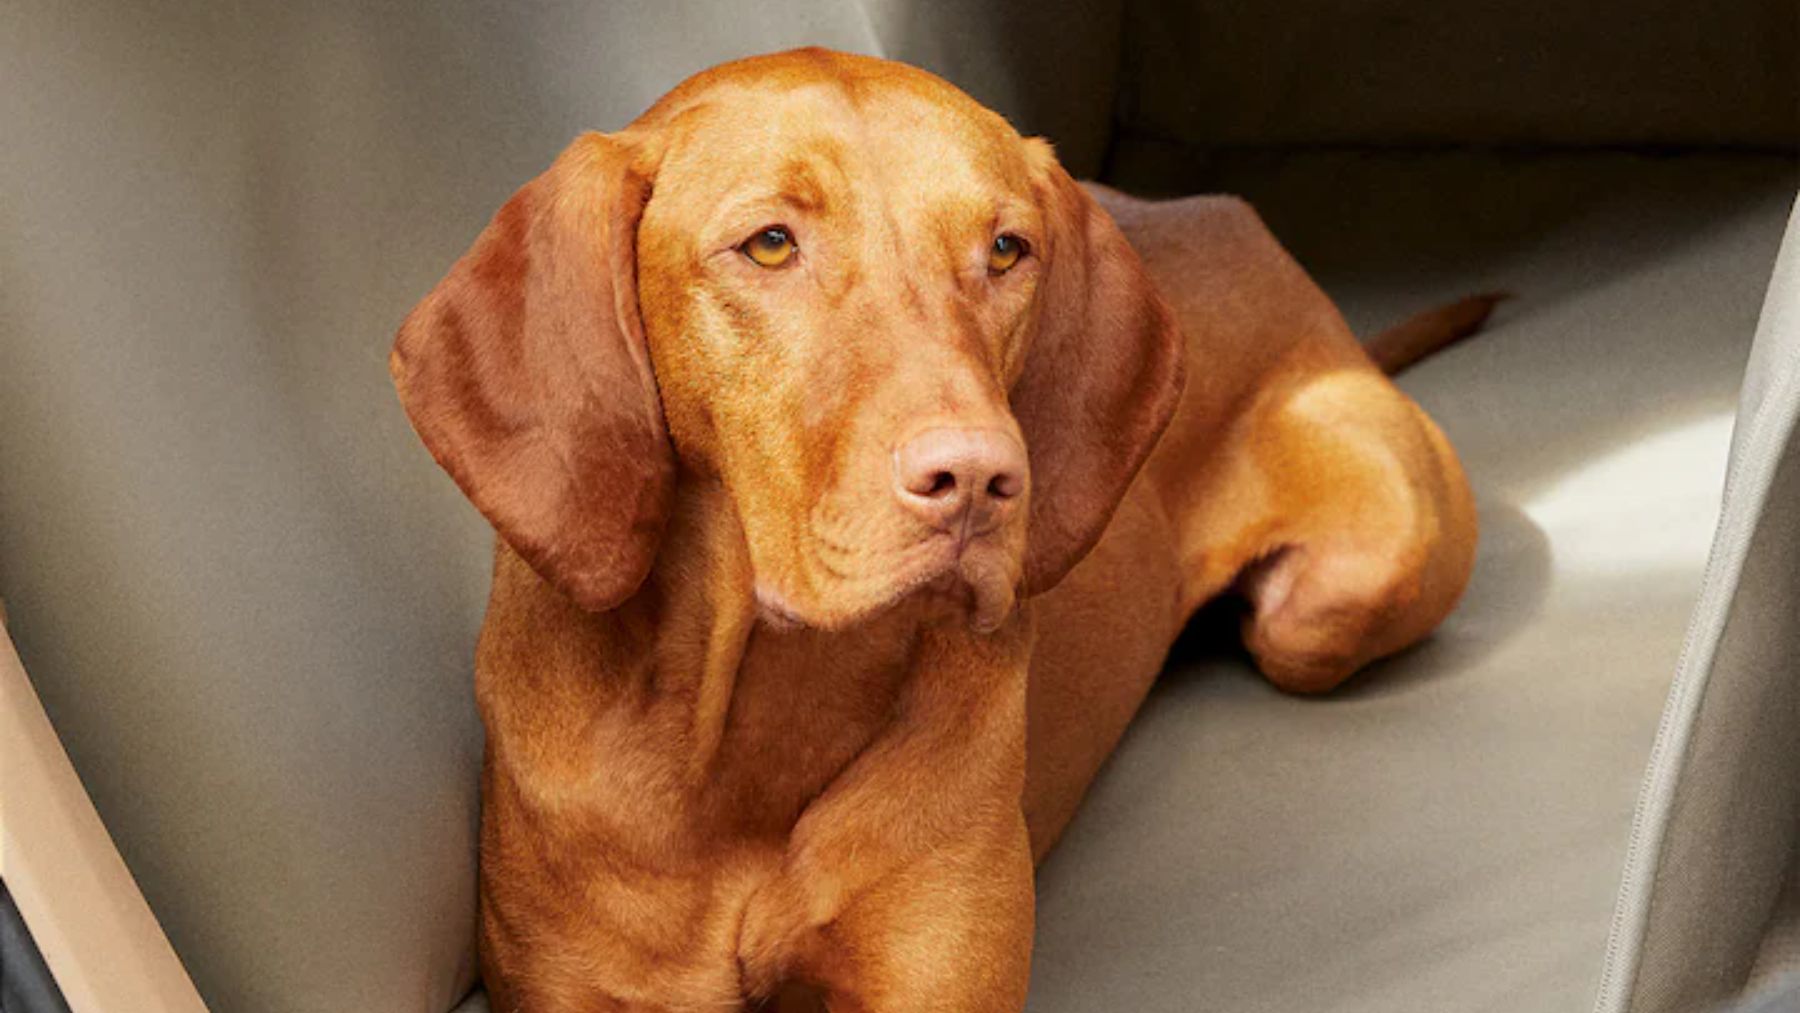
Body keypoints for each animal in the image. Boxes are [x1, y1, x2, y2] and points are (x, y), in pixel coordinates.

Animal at [390, 45, 1490, 1013]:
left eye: (1006, 248)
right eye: (770, 242)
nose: (977, 479)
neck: (761, 725)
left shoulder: (933, 972)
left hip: (1330, 603)